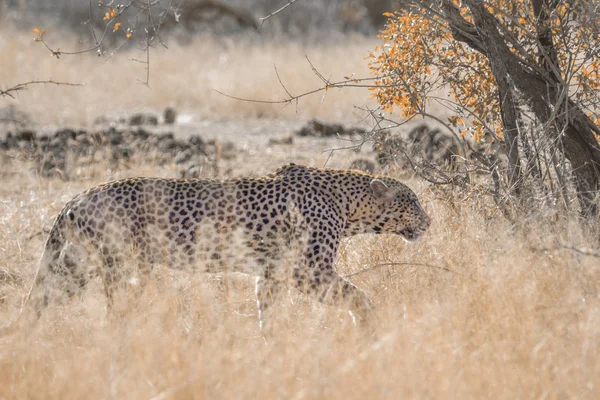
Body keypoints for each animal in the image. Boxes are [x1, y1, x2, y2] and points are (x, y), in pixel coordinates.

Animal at [10, 162, 432, 332]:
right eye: (411, 201)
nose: (428, 221)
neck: (348, 206)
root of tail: (80, 195)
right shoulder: (309, 270)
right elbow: (358, 296)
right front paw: (369, 325)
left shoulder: (273, 274)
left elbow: (269, 313)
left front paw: (272, 346)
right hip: (123, 265)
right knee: (115, 310)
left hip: (77, 265)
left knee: (38, 298)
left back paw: (24, 338)